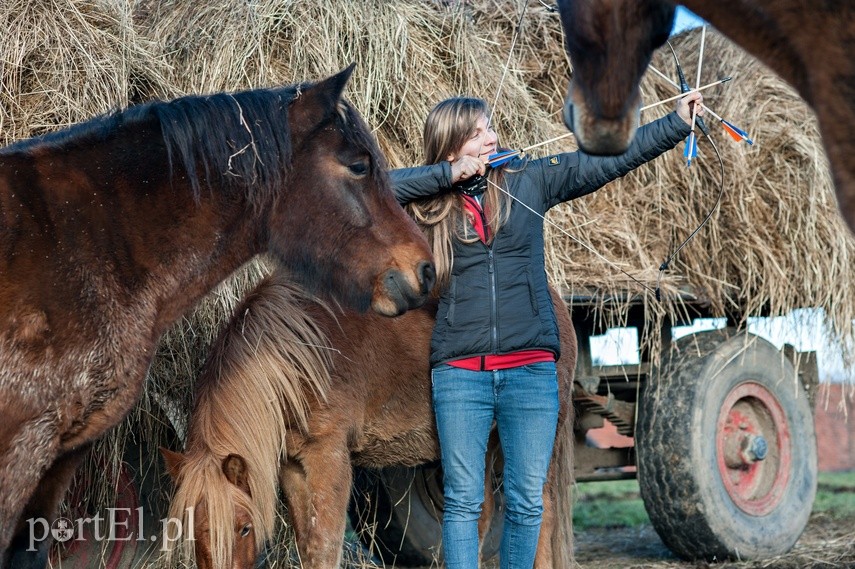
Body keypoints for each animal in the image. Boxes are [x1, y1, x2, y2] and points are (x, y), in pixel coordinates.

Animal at [160, 270, 576, 568]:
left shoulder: (330, 458)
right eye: (193, 533)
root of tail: (556, 302)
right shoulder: (292, 467)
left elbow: (325, 543)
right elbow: (308, 542)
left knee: (541, 514)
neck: (295, 356)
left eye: (244, 529)